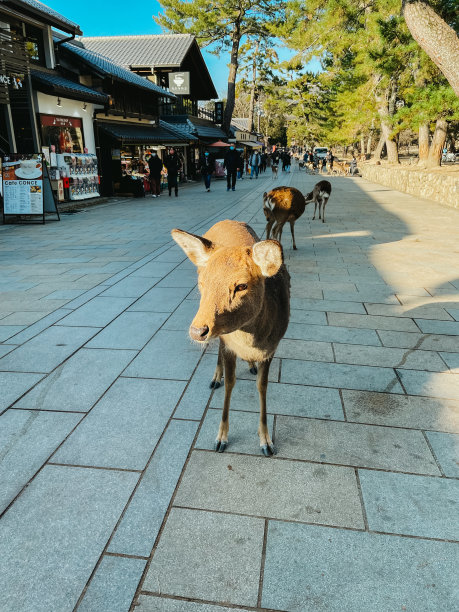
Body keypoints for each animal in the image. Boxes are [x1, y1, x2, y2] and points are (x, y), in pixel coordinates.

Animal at [172, 219, 292, 454]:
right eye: (202, 282)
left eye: (242, 285)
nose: (197, 331)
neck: (253, 342)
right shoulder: (228, 344)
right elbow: (230, 383)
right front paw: (221, 439)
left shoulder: (272, 348)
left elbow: (262, 387)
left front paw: (266, 442)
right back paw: (215, 378)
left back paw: (250, 365)